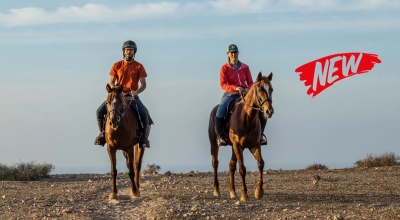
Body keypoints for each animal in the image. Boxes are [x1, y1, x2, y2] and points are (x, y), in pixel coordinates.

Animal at [208, 72, 274, 201]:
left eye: (271, 89)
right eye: (260, 89)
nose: (269, 111)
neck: (247, 118)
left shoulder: (254, 145)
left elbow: (260, 163)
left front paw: (259, 192)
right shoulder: (238, 145)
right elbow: (242, 169)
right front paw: (244, 194)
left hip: (233, 147)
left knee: (231, 165)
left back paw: (233, 192)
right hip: (214, 144)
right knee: (215, 163)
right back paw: (216, 190)